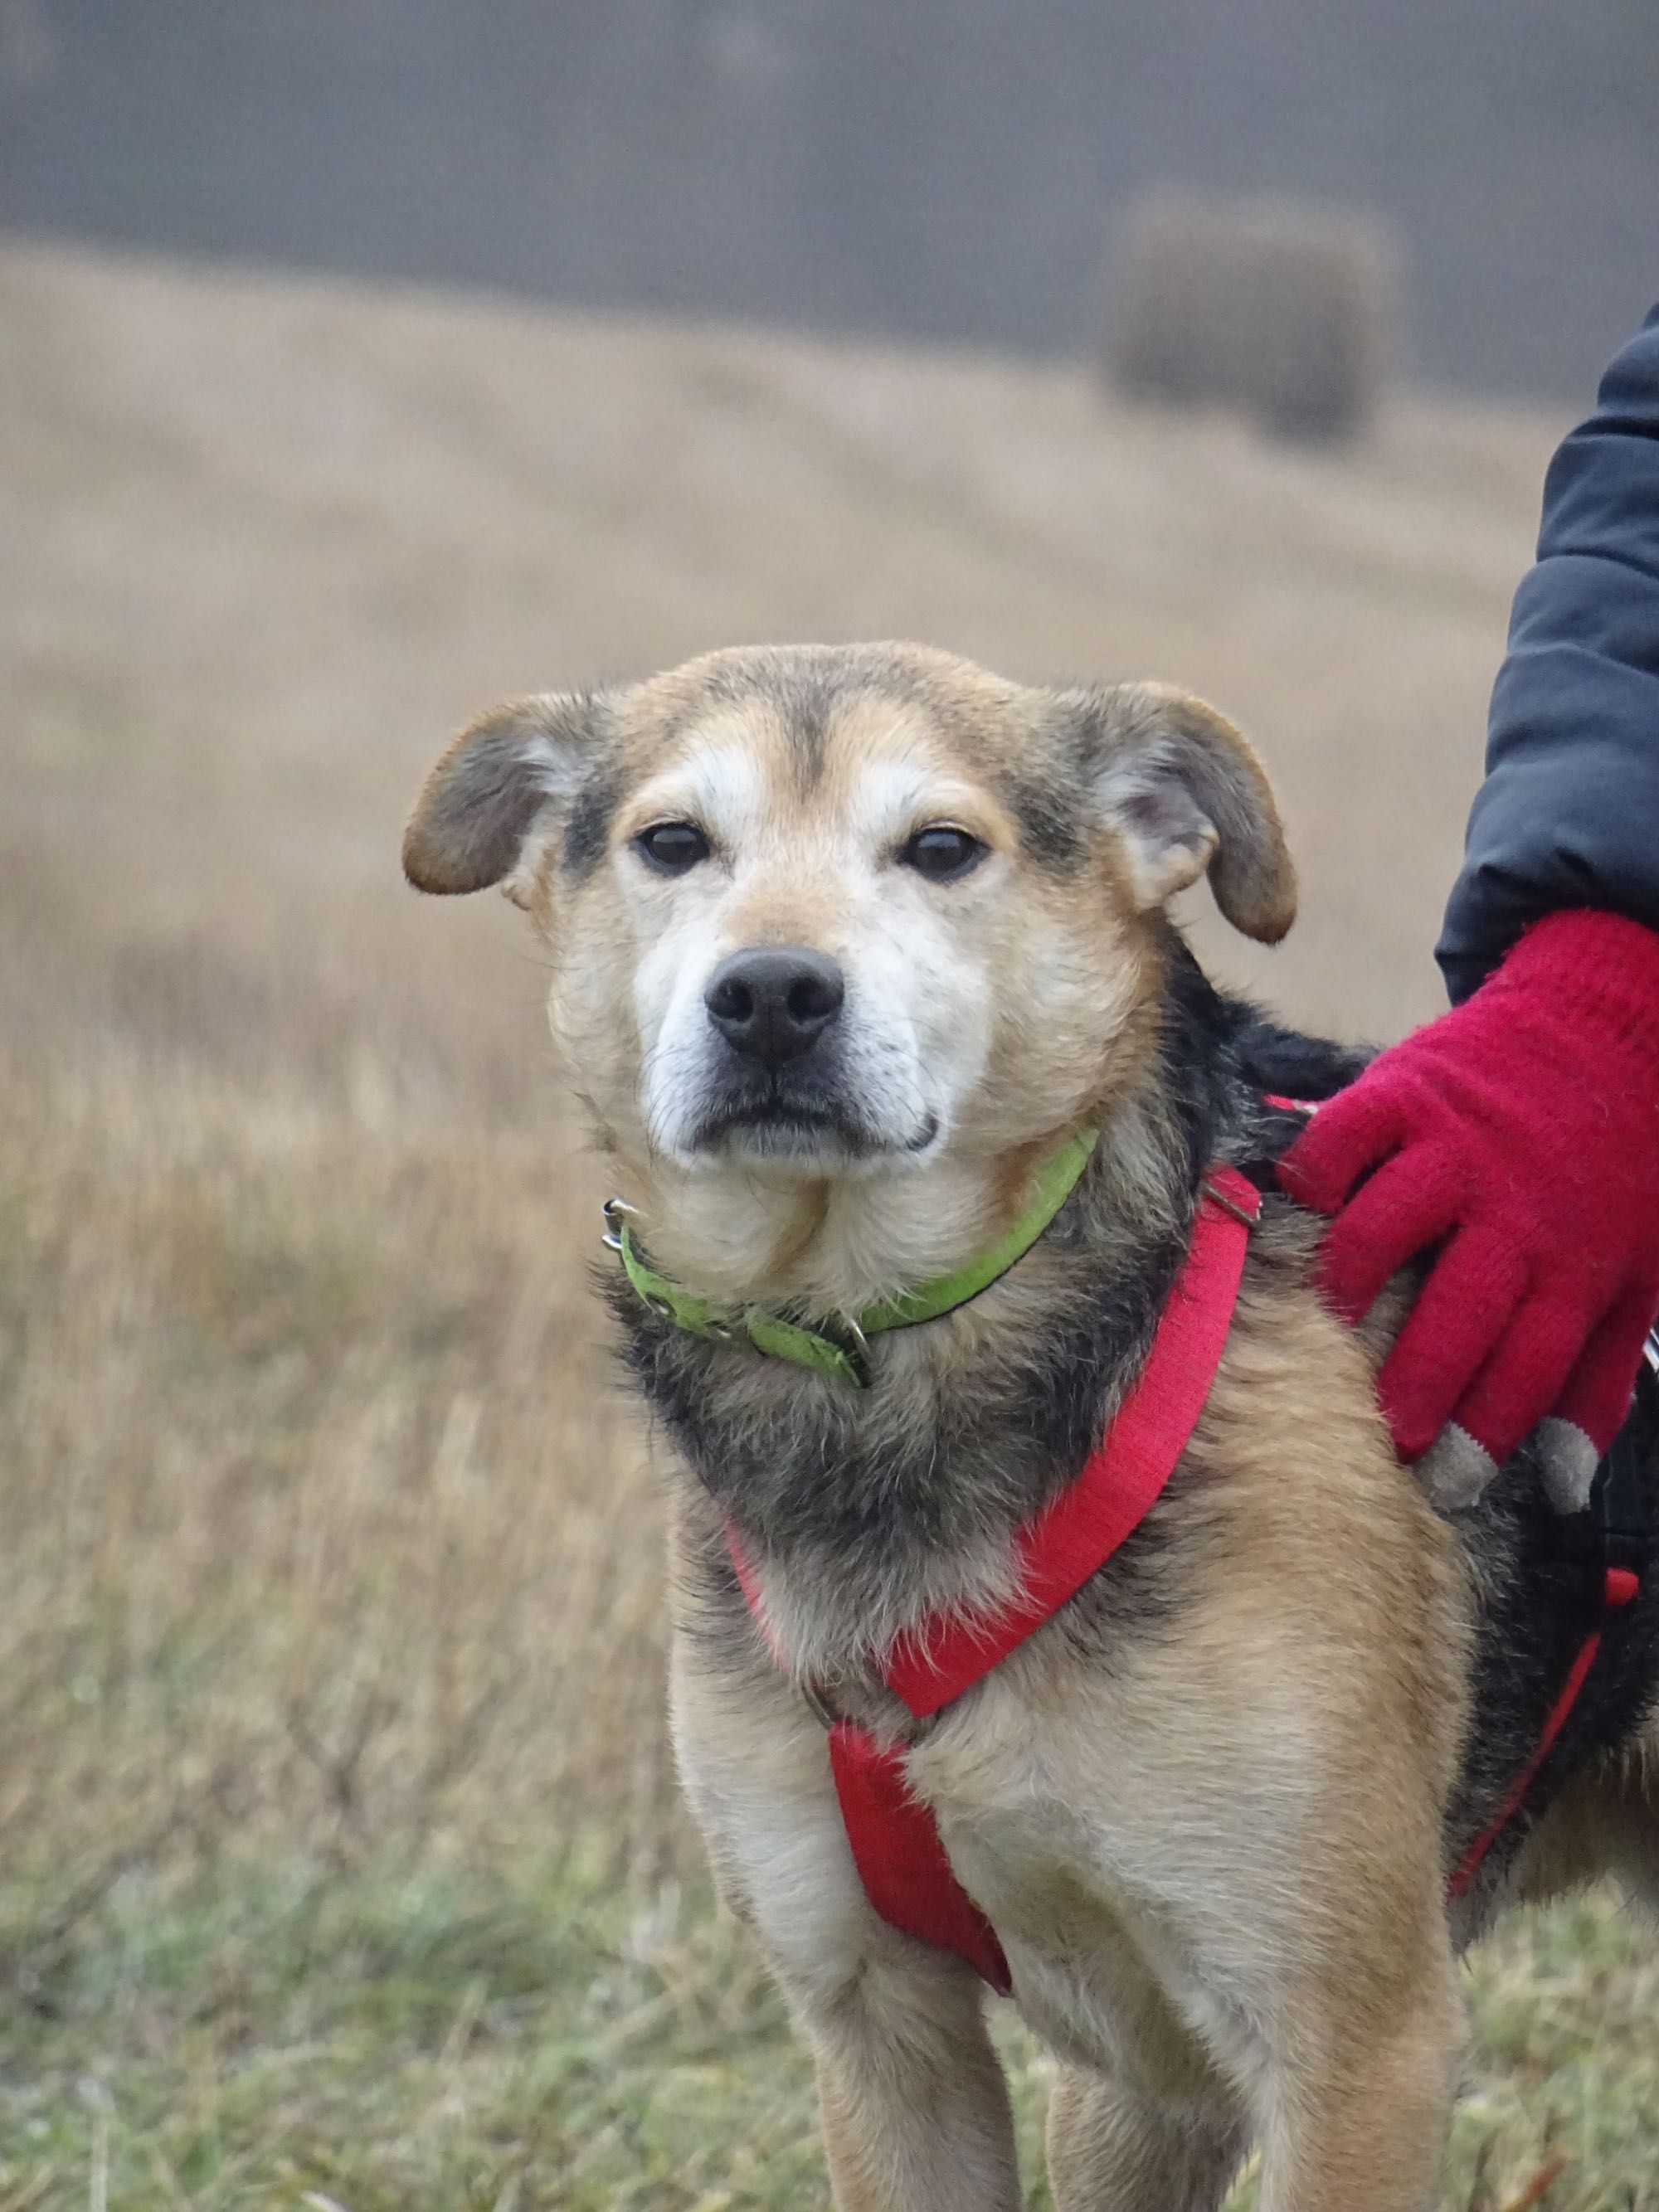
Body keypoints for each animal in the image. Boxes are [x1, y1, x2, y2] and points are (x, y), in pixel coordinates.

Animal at [400, 645, 1659, 2212]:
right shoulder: (886, 2025)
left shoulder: (1354, 2042)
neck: (875, 1346)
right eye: (673, 842)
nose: (771, 995)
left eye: (942, 848)